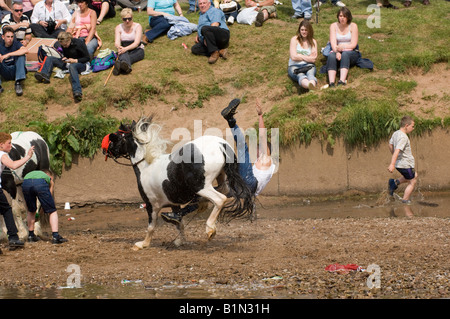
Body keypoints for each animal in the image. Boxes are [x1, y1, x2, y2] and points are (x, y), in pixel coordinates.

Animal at [103, 116, 255, 251]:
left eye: (114, 137)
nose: (105, 151)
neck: (146, 165)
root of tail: (220, 144)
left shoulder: (151, 205)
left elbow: (151, 226)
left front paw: (142, 244)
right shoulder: (173, 203)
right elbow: (179, 223)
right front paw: (179, 240)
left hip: (201, 186)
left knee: (220, 199)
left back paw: (210, 229)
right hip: (220, 178)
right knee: (224, 190)